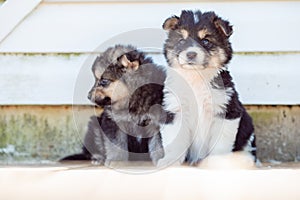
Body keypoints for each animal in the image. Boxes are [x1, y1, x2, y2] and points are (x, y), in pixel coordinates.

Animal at [158, 10, 256, 166]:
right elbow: (175, 142)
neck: (197, 78)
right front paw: (170, 161)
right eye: (182, 41)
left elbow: (220, 145)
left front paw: (217, 163)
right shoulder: (174, 111)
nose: (191, 54)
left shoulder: (226, 112)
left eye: (206, 41)